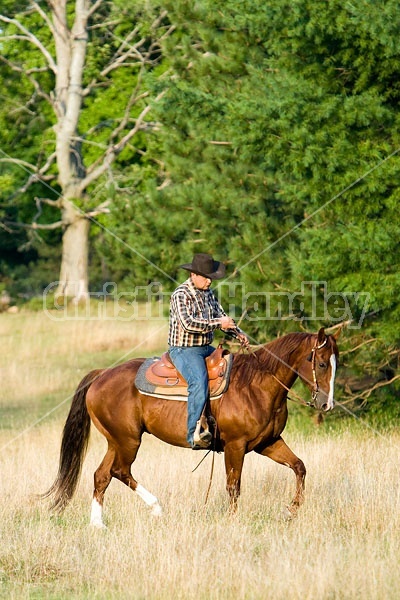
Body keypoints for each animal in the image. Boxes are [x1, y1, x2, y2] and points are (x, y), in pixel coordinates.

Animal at [44, 326, 338, 528]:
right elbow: (234, 485)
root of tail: (102, 374)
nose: (327, 404)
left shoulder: (268, 442)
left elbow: (299, 466)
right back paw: (156, 508)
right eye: (322, 363)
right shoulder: (236, 445)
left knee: (101, 475)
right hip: (128, 440)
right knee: (119, 471)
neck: (256, 385)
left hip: (115, 441)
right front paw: (232, 521)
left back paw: (98, 524)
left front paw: (291, 510)